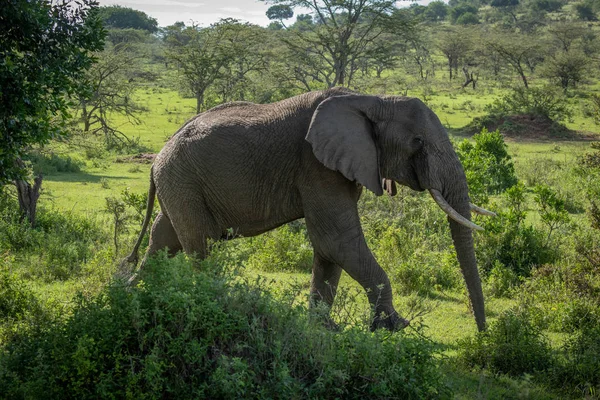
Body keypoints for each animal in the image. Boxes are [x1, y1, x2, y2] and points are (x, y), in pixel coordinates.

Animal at [125, 87, 492, 332]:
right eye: (418, 142)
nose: (482, 333)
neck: (371, 99)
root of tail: (156, 159)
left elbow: (330, 249)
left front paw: (323, 329)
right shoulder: (316, 165)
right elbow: (337, 241)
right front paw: (394, 327)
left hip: (178, 185)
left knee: (163, 240)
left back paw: (130, 291)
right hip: (184, 182)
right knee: (200, 247)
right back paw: (212, 304)